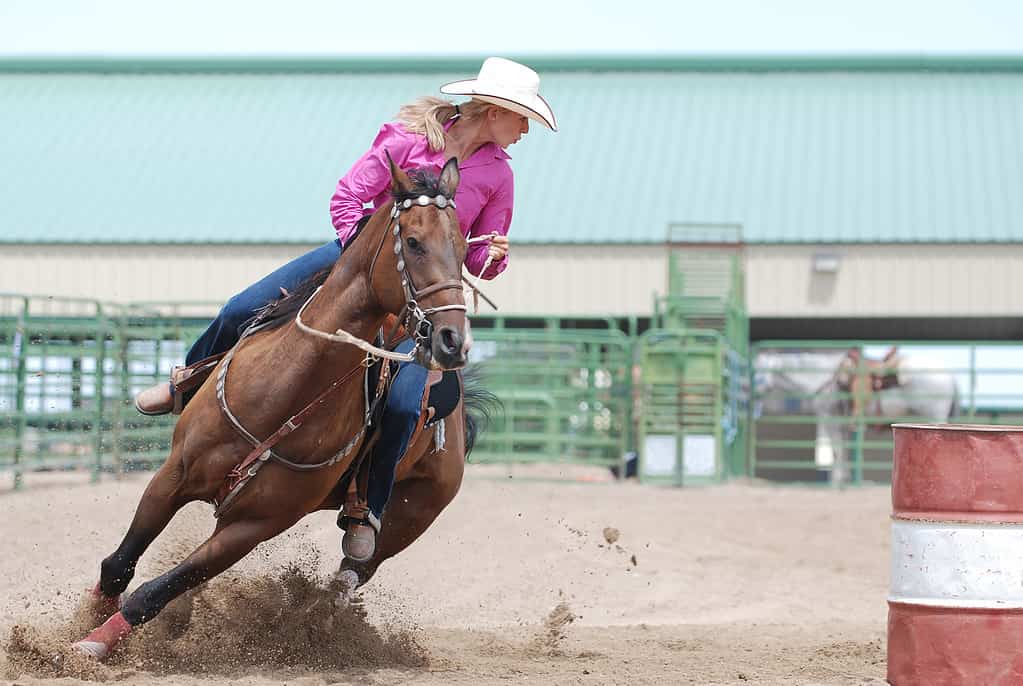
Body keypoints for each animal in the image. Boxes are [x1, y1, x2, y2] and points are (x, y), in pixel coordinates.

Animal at [72, 157, 495, 658]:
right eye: (413, 242)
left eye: (464, 249)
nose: (451, 341)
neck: (282, 391)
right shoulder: (174, 474)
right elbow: (120, 563)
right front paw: (85, 620)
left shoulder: (255, 525)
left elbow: (156, 591)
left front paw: (92, 645)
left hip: (410, 518)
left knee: (351, 575)